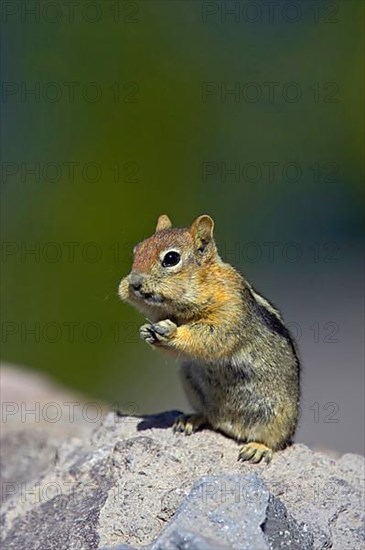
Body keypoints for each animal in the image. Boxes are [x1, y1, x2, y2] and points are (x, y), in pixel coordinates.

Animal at [118, 216, 298, 466]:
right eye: (137, 250)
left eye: (171, 258)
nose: (133, 283)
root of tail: (231, 428)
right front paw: (147, 331)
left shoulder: (228, 310)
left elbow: (209, 337)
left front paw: (170, 332)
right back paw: (190, 419)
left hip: (277, 415)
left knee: (275, 440)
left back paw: (257, 448)